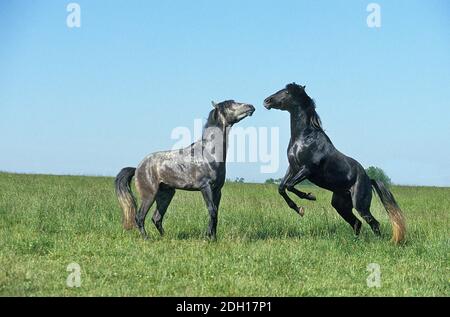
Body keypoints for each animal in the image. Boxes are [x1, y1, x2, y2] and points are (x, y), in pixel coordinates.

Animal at [114, 100, 255, 238]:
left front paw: (213, 237)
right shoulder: (206, 187)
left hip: (166, 194)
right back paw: (146, 238)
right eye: (229, 105)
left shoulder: (217, 190)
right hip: (149, 195)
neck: (209, 153)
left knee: (156, 218)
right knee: (140, 217)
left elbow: (215, 213)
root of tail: (137, 168)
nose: (251, 107)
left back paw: (165, 237)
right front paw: (208, 237)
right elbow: (212, 211)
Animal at [266, 82, 406, 242]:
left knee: (373, 222)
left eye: (287, 92)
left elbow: (289, 185)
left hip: (360, 204)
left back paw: (378, 242)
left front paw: (309, 197)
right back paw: (355, 242)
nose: (267, 101)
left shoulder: (307, 169)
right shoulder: (293, 168)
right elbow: (282, 187)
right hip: (340, 205)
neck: (304, 138)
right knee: (357, 222)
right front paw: (299, 208)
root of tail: (369, 180)